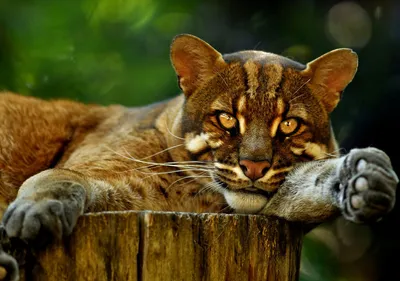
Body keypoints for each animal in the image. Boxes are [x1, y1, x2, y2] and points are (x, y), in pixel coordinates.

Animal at [0, 34, 396, 255]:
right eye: (226, 118)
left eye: (288, 124)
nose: (254, 165)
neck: (190, 195)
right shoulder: (101, 170)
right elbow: (60, 176)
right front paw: (36, 211)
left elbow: (306, 183)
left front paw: (364, 178)